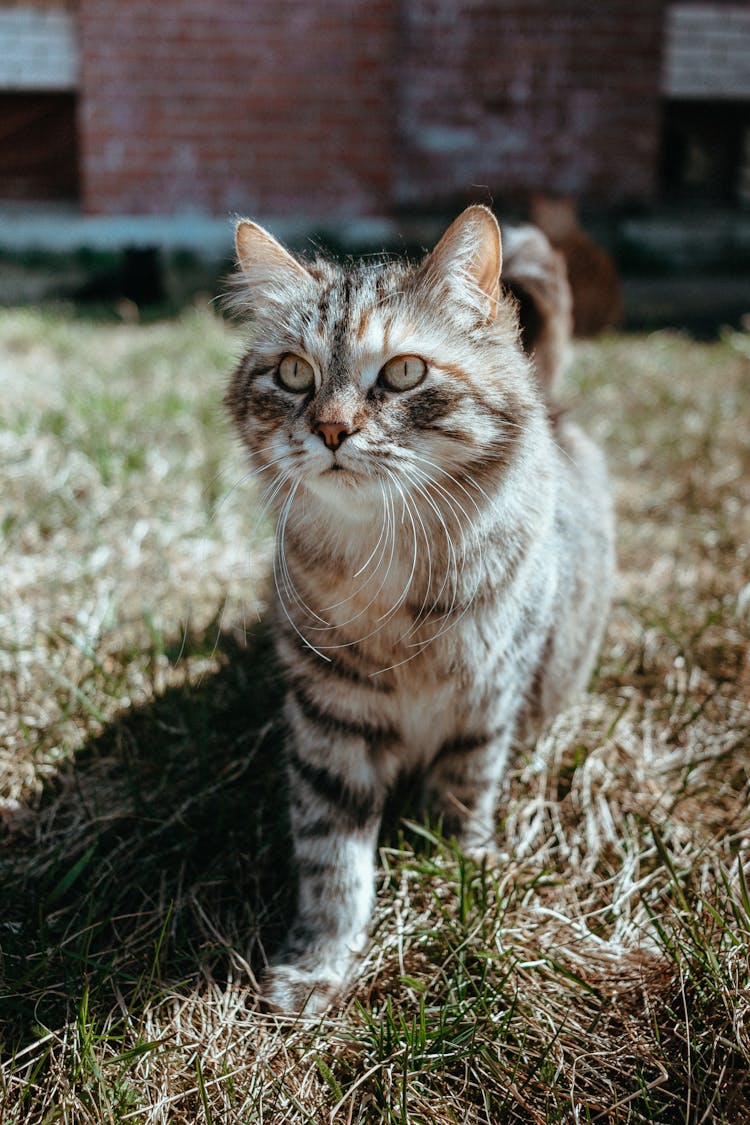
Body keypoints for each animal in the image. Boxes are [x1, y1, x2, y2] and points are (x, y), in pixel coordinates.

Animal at [224, 207, 616, 1017]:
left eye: (404, 372)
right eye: (294, 373)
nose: (331, 430)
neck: (391, 568)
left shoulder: (489, 700)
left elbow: (462, 795)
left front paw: (455, 871)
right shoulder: (329, 717)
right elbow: (332, 859)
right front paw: (318, 964)